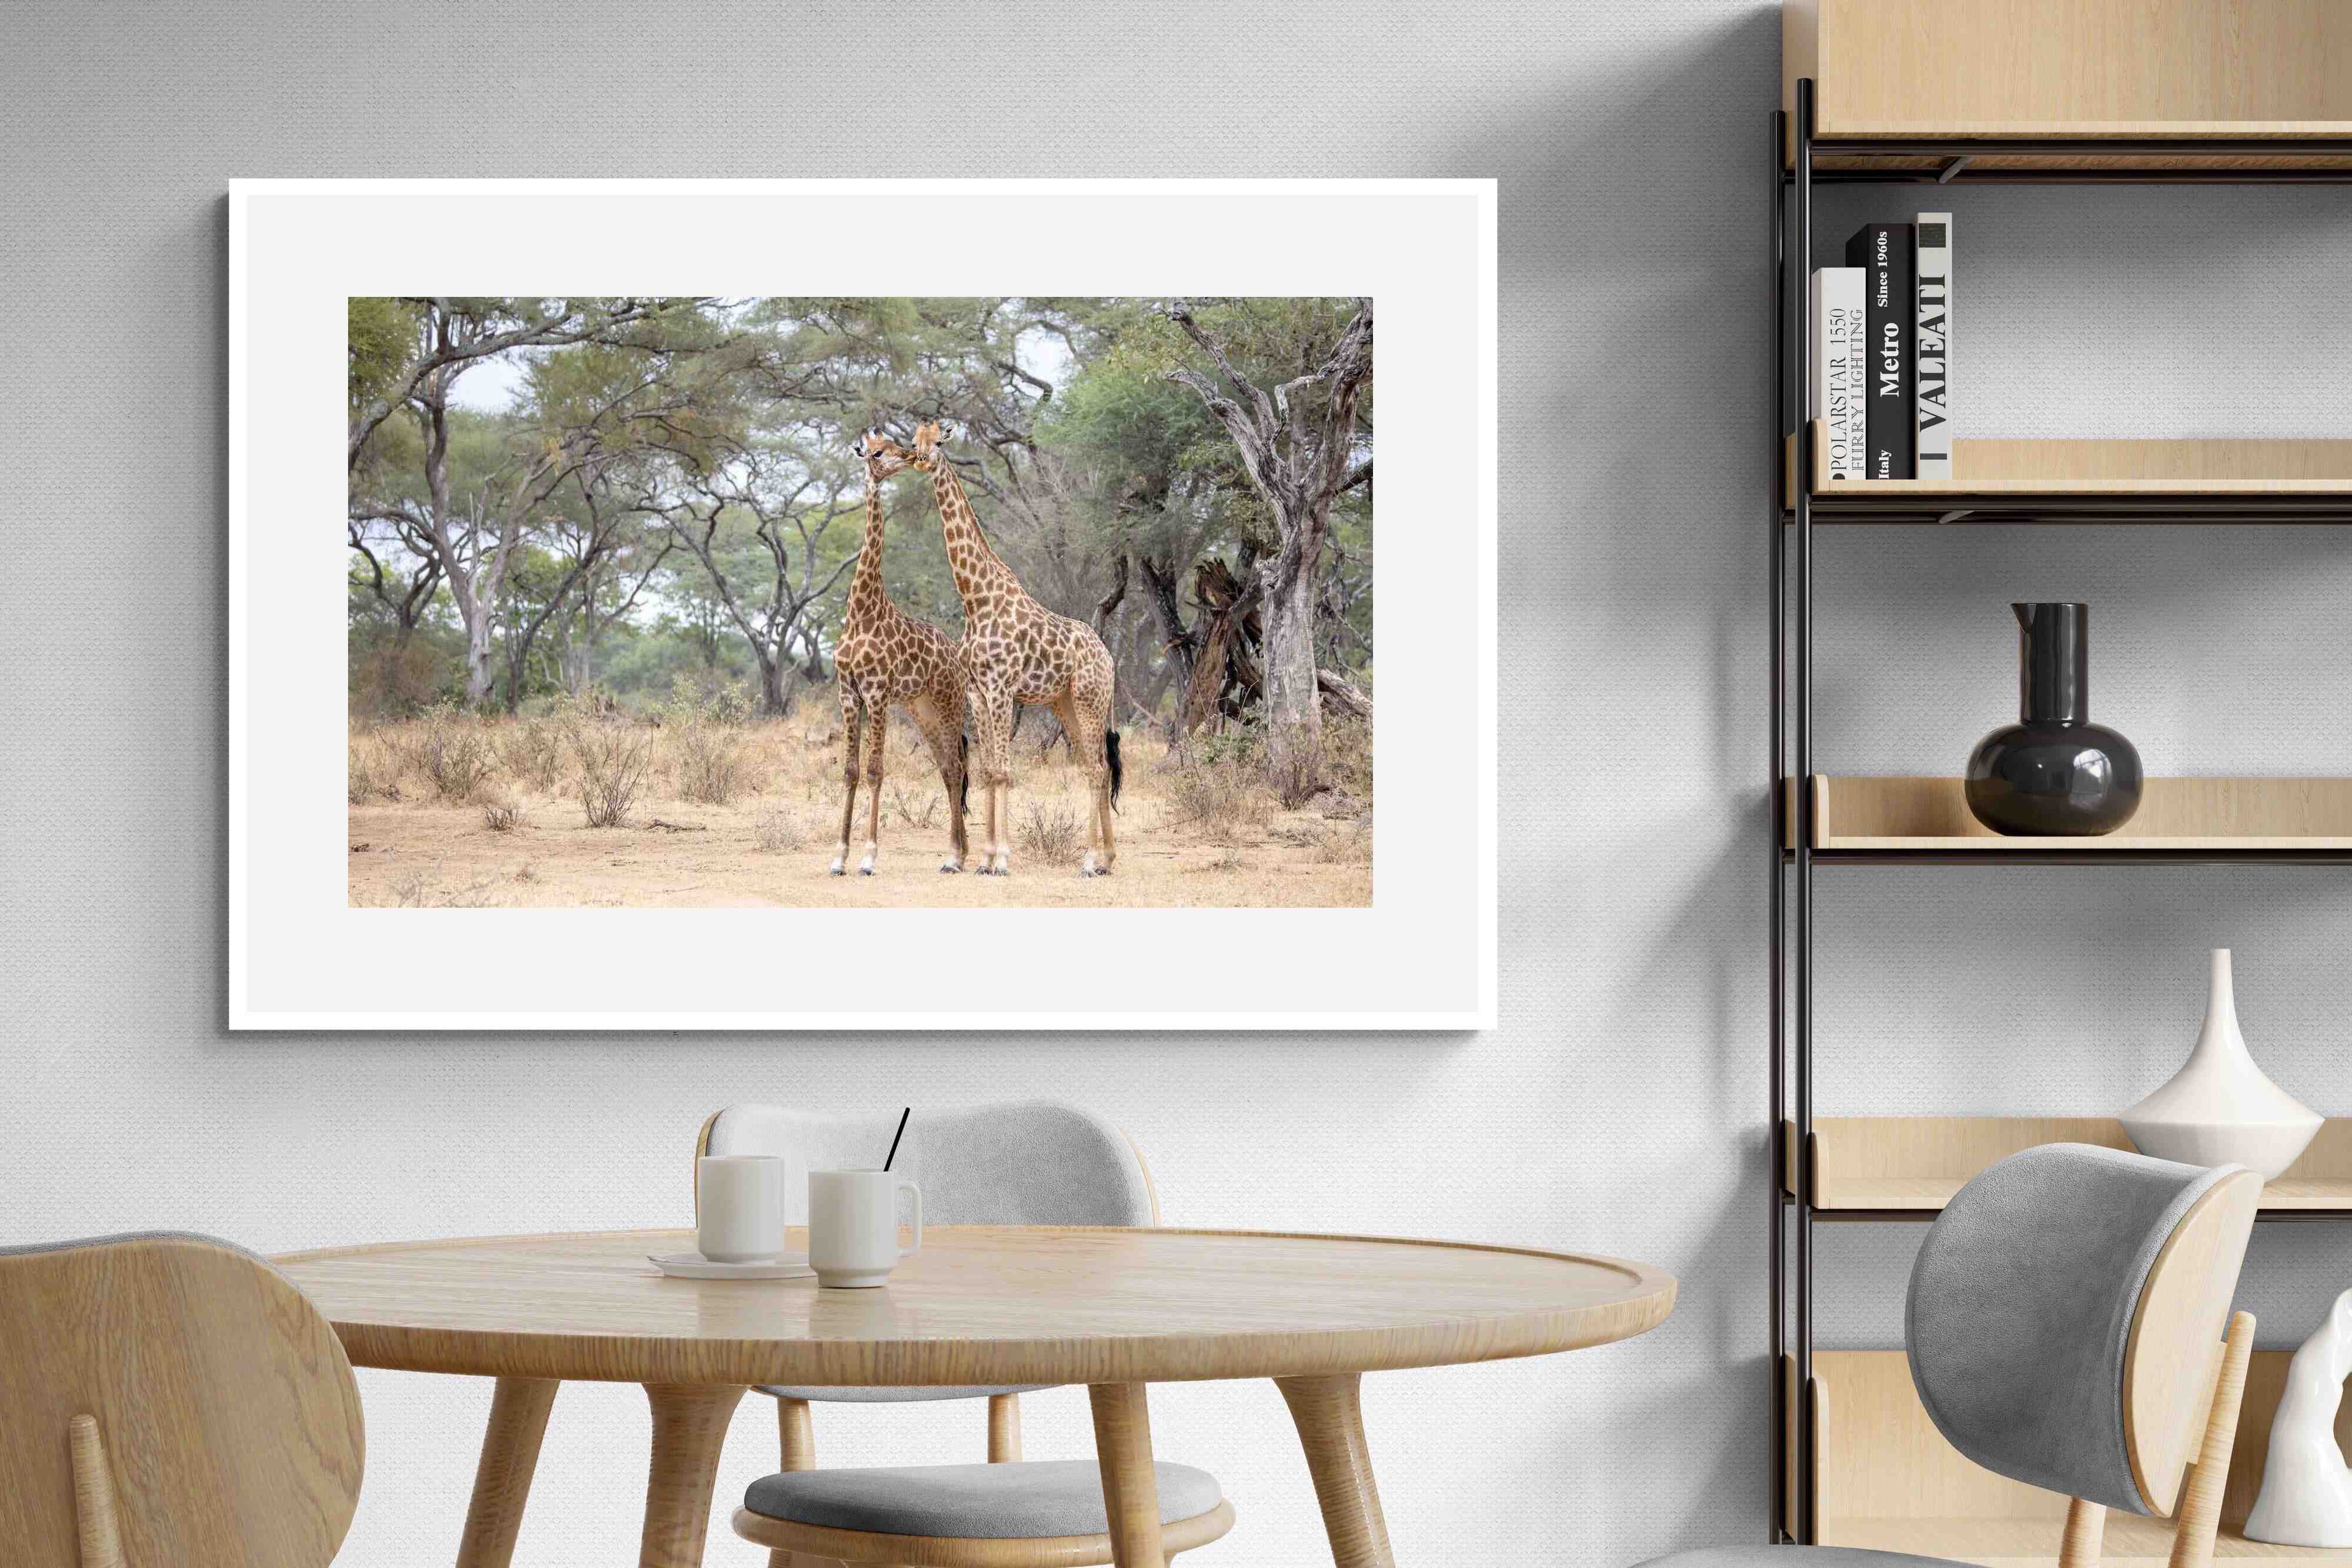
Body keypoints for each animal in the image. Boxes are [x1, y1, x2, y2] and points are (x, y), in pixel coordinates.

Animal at [828, 431, 970, 876]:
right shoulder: (849, 693)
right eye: (876, 451)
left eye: (894, 444)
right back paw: (960, 853)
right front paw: (838, 857)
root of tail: (956, 656)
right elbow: (851, 771)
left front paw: (869, 857)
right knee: (948, 768)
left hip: (948, 702)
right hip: (920, 708)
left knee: (957, 768)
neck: (861, 611)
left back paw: (954, 856)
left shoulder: (876, 693)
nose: (908, 456)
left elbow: (876, 770)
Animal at [892, 419, 1121, 877]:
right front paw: (983, 859)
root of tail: (1107, 657)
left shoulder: (1001, 689)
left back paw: (1089, 861)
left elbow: (1004, 771)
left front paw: (1001, 859)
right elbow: (988, 769)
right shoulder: (978, 692)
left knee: (1095, 768)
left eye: (939, 441)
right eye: (913, 440)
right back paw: (1106, 859)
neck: (975, 599)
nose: (920, 459)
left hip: (1089, 698)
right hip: (1065, 703)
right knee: (1099, 767)